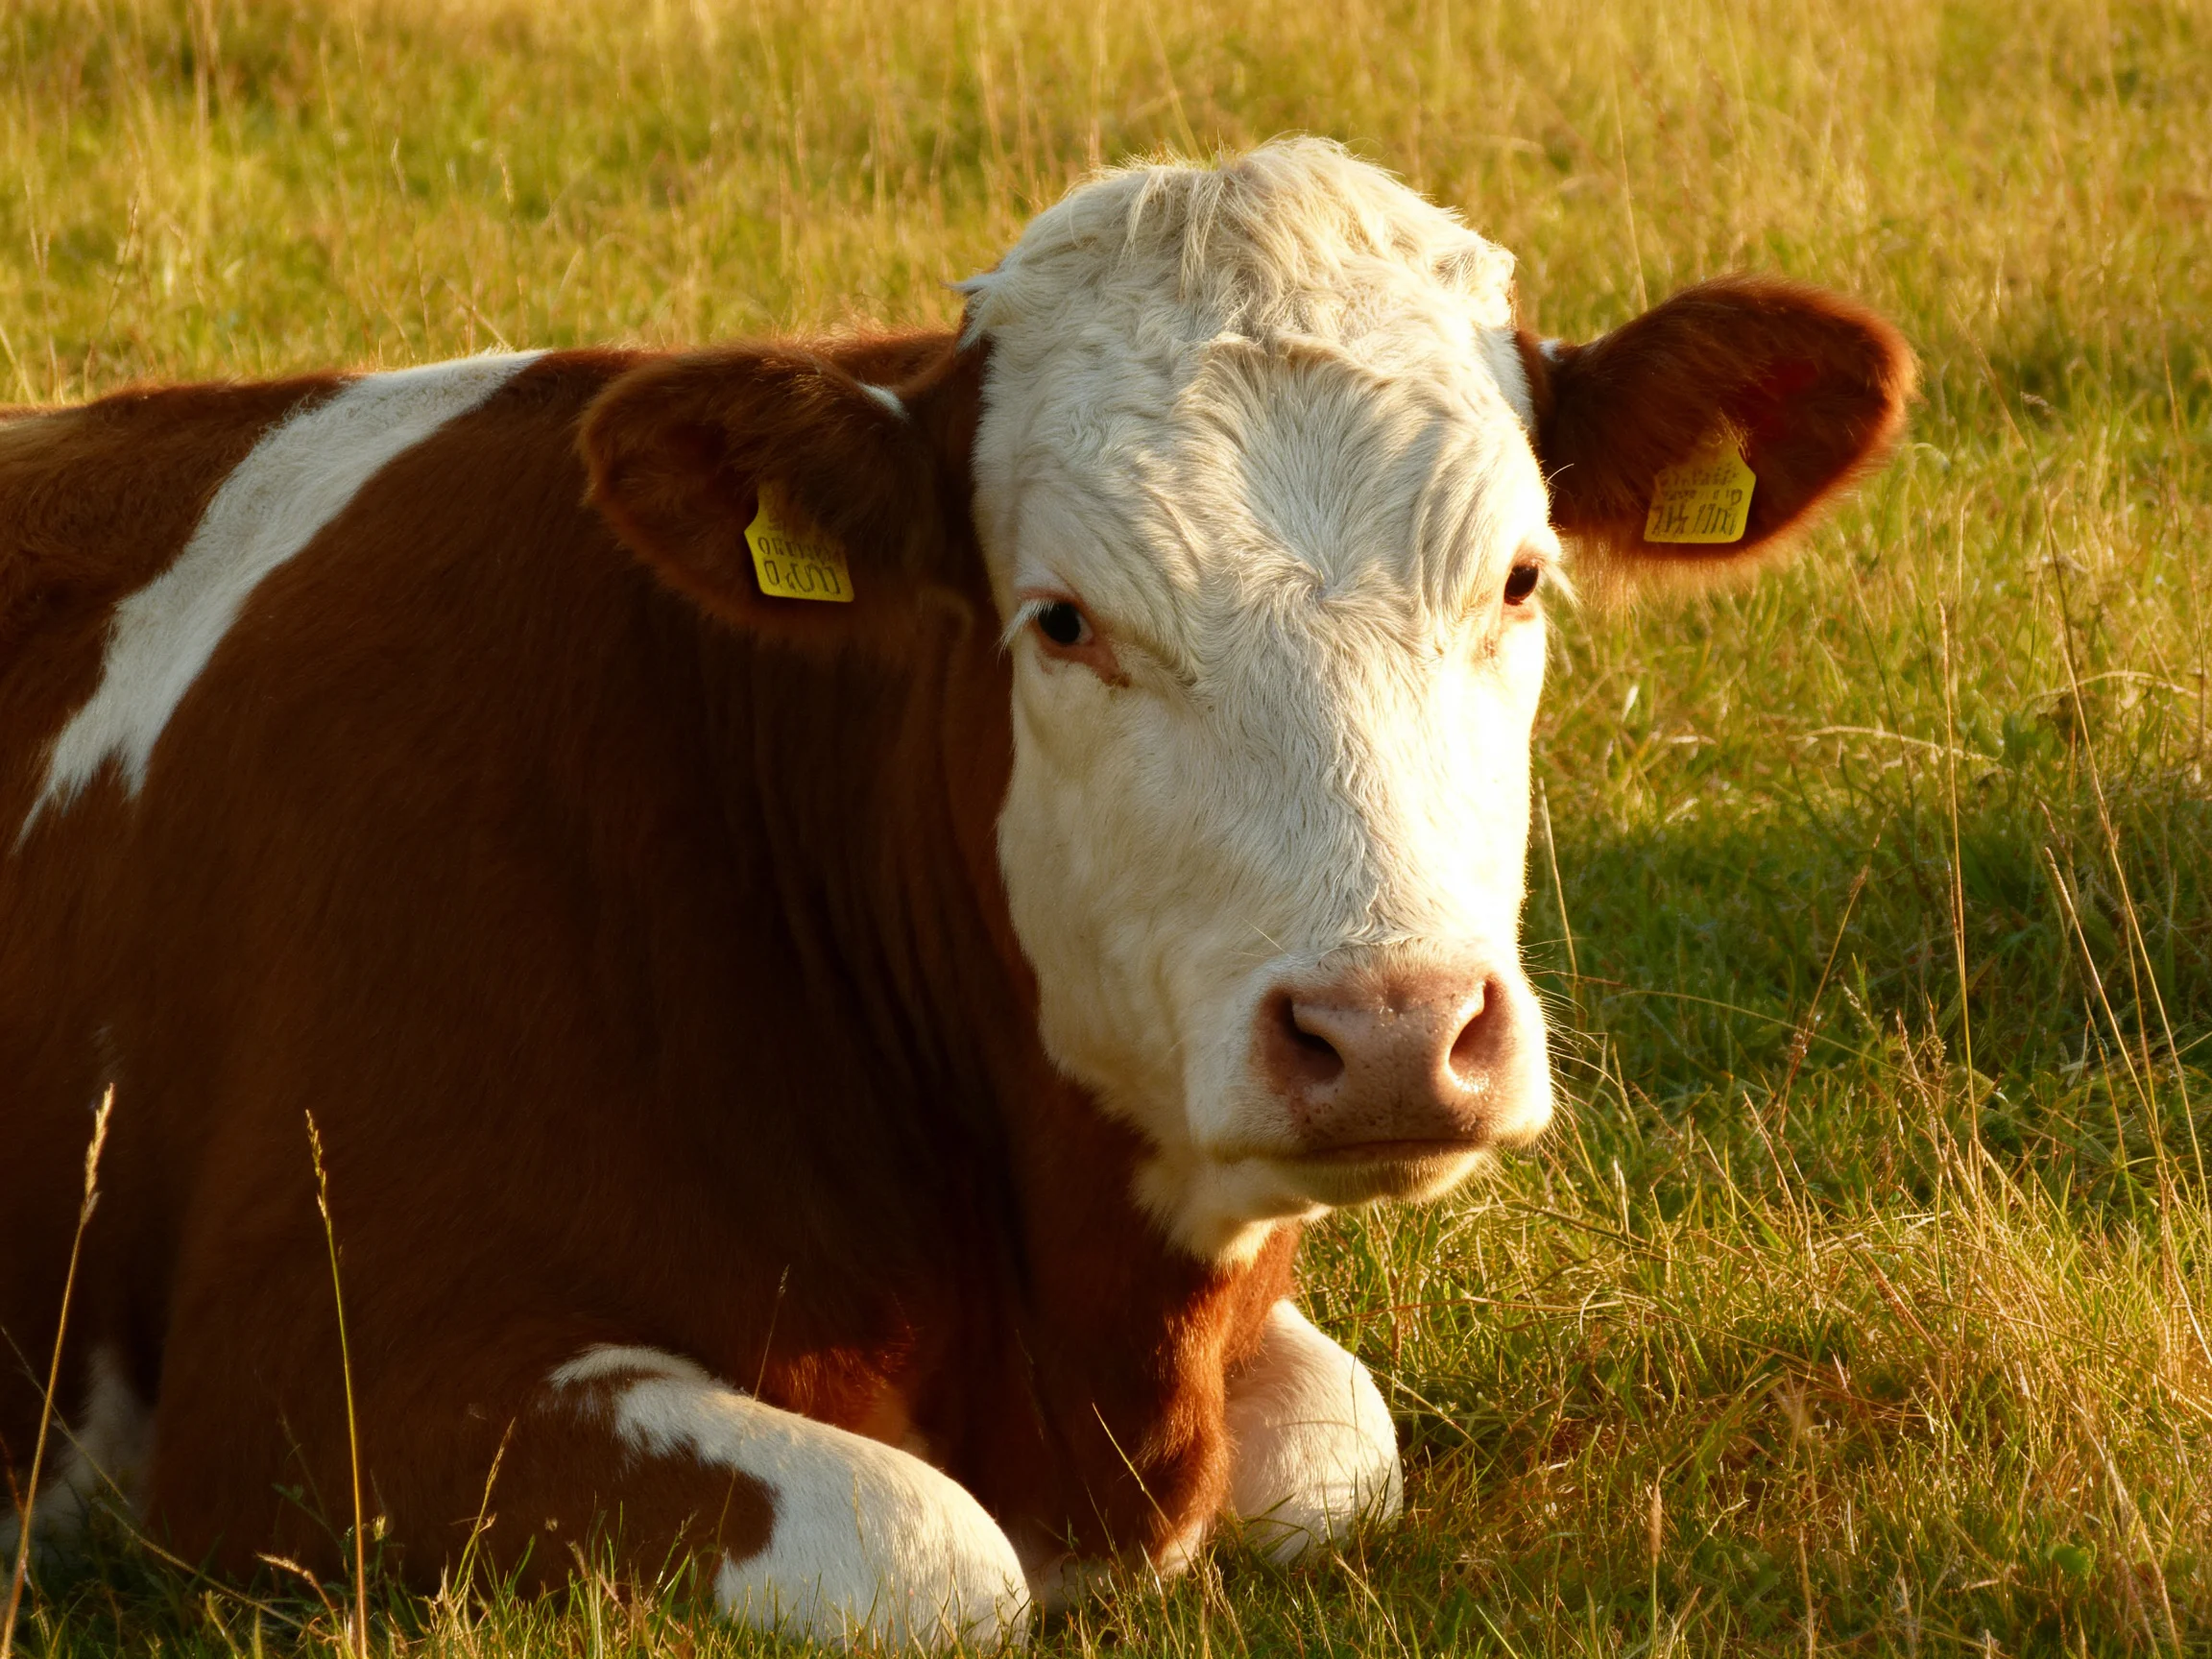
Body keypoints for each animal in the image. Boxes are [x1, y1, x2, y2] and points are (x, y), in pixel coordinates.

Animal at [0, 139, 1911, 1648]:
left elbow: (1336, 1441)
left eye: (1516, 578)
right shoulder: (292, 1394)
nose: (1388, 1033)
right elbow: (927, 1550)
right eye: (1060, 620)